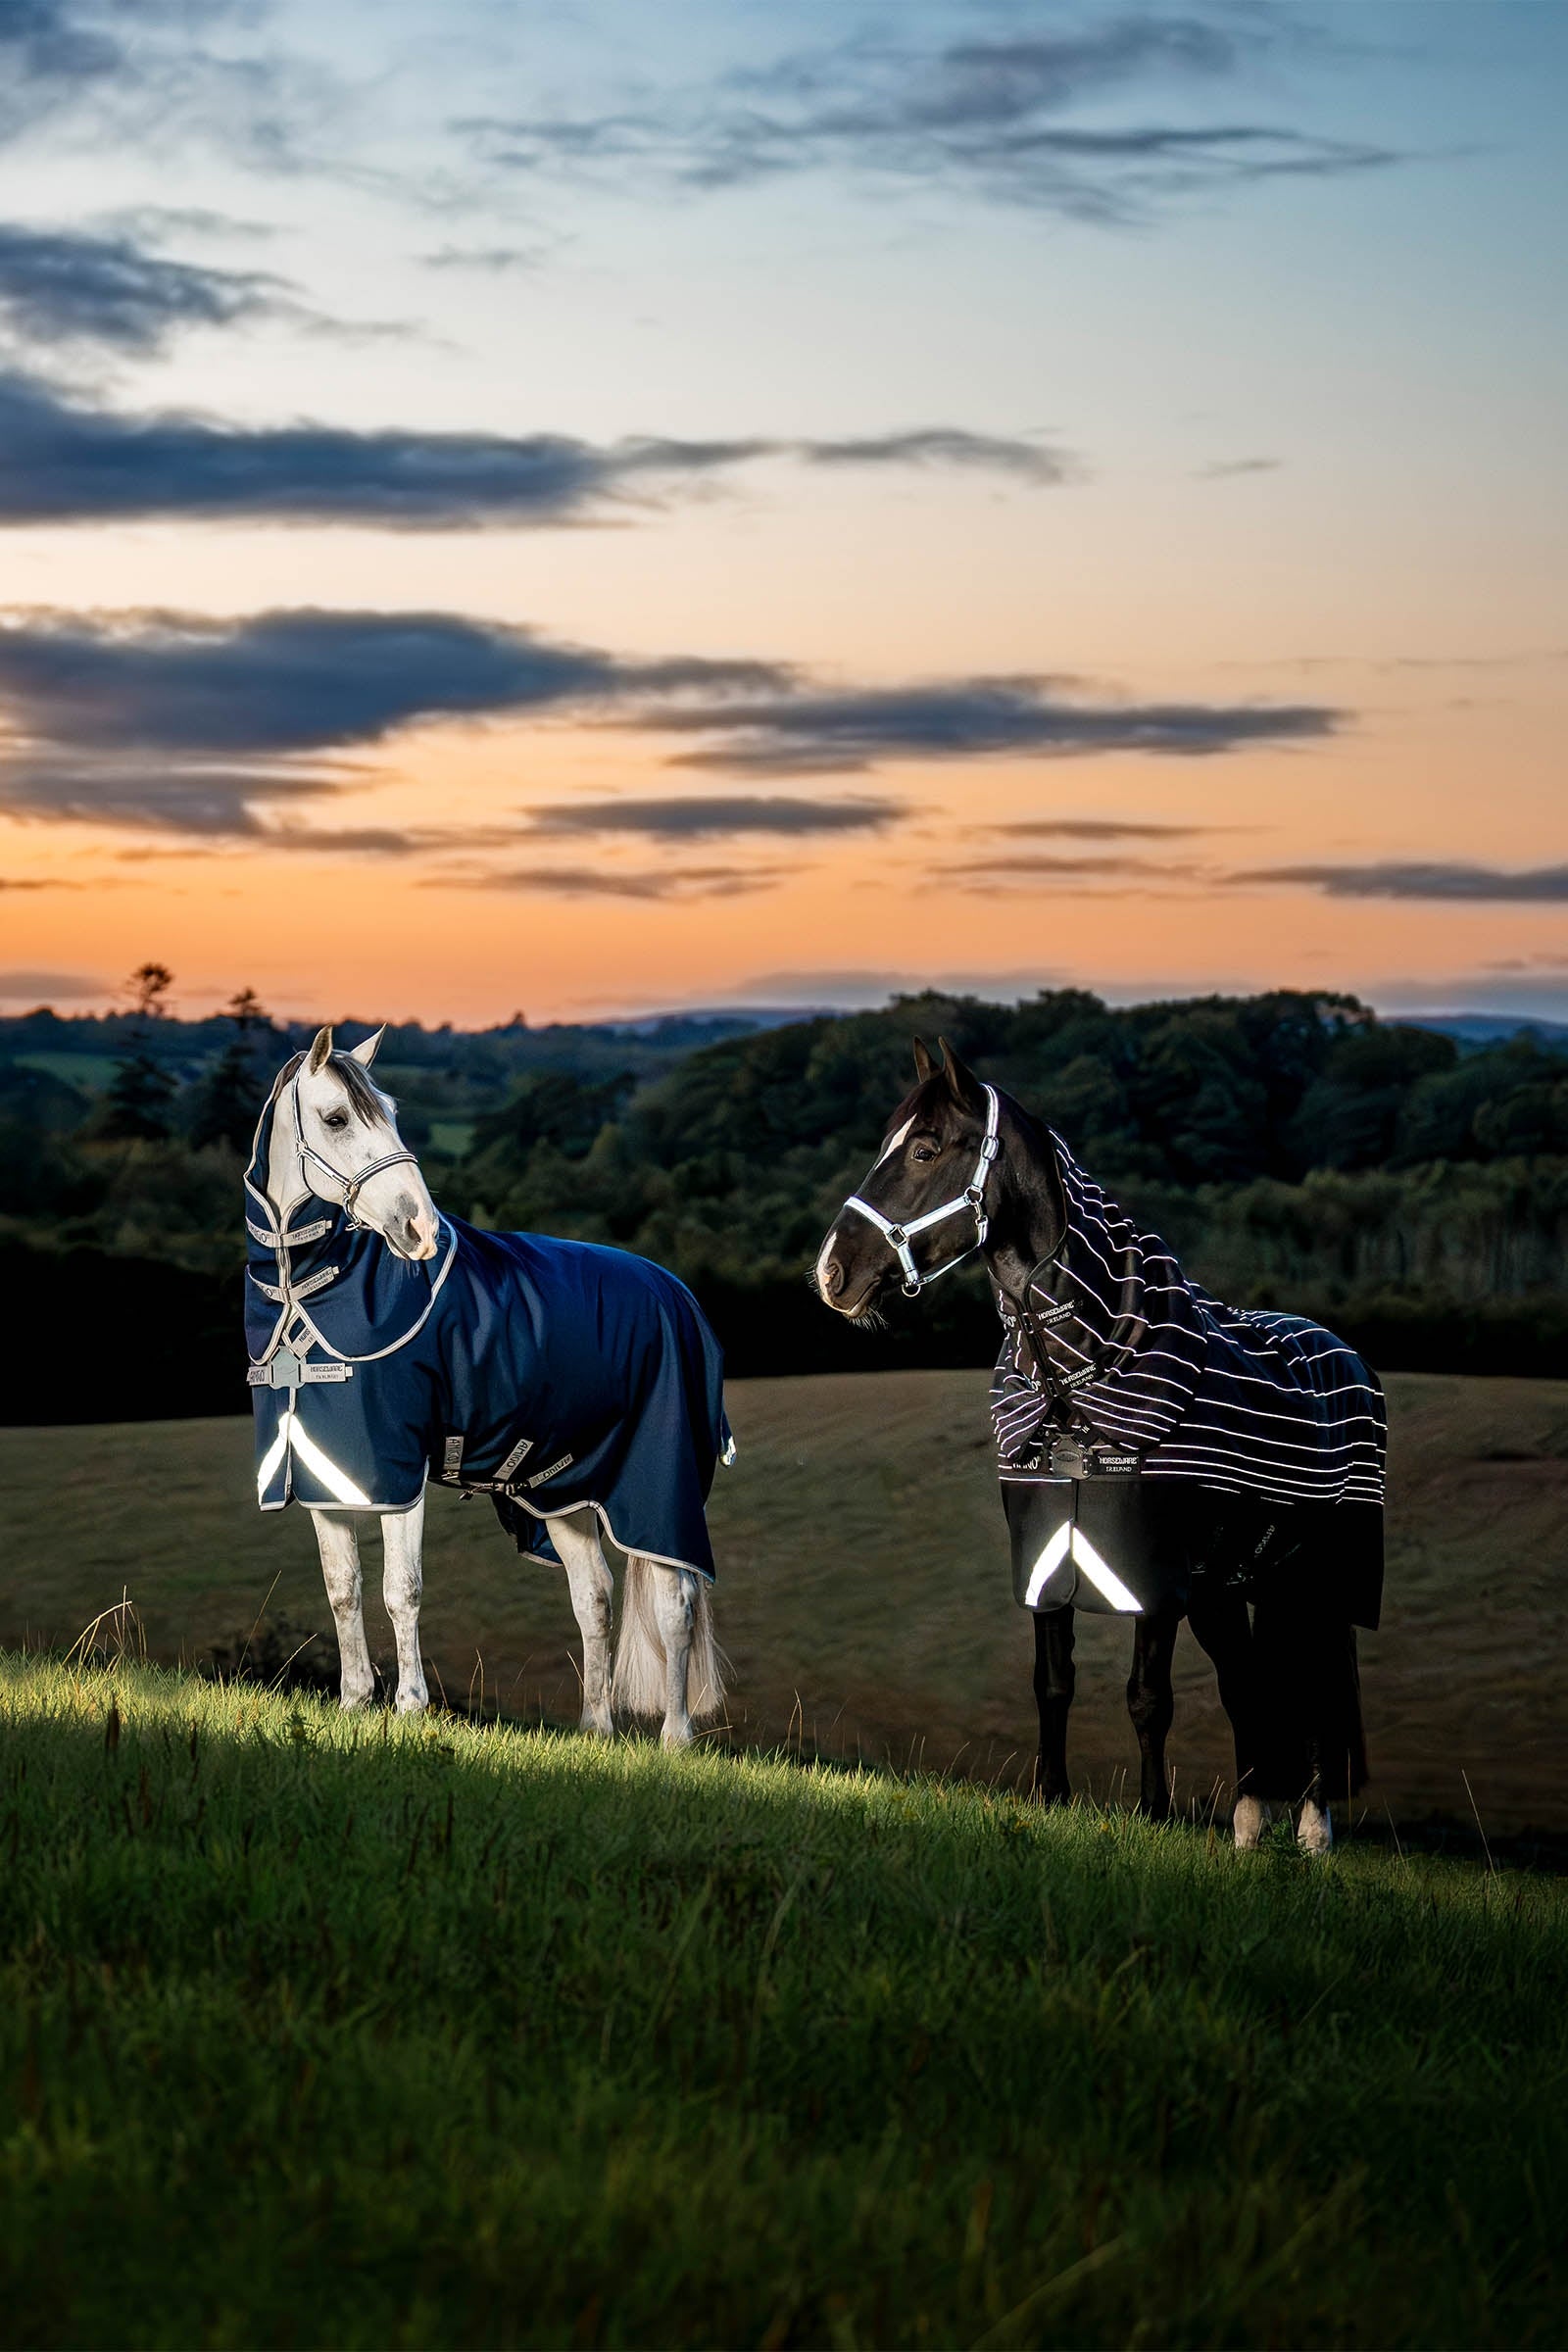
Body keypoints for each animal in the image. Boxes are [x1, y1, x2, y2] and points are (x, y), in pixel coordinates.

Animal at [243, 1025, 729, 1747]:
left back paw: (674, 1739)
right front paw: (354, 1703)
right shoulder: (326, 1474)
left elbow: (401, 1589)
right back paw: (596, 1729)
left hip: (658, 1493)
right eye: (336, 1119)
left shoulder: (400, 1471)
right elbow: (343, 1588)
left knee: (676, 1604)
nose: (419, 1229)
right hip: (562, 1491)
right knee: (594, 1597)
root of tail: (679, 1294)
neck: (309, 1291)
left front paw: (410, 1706)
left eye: (391, 1112)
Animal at [814, 1037, 1385, 1853]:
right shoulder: (1049, 1557)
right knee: (1247, 1683)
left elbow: (1148, 1696)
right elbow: (1053, 1683)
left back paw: (1312, 1829)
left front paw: (1154, 1815)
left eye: (924, 1148)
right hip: (1228, 1587)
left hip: (1316, 1584)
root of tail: (1346, 1356)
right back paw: (1248, 1825)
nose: (832, 1272)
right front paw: (1051, 1798)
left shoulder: (1152, 1580)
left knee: (1314, 1689)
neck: (1078, 1381)